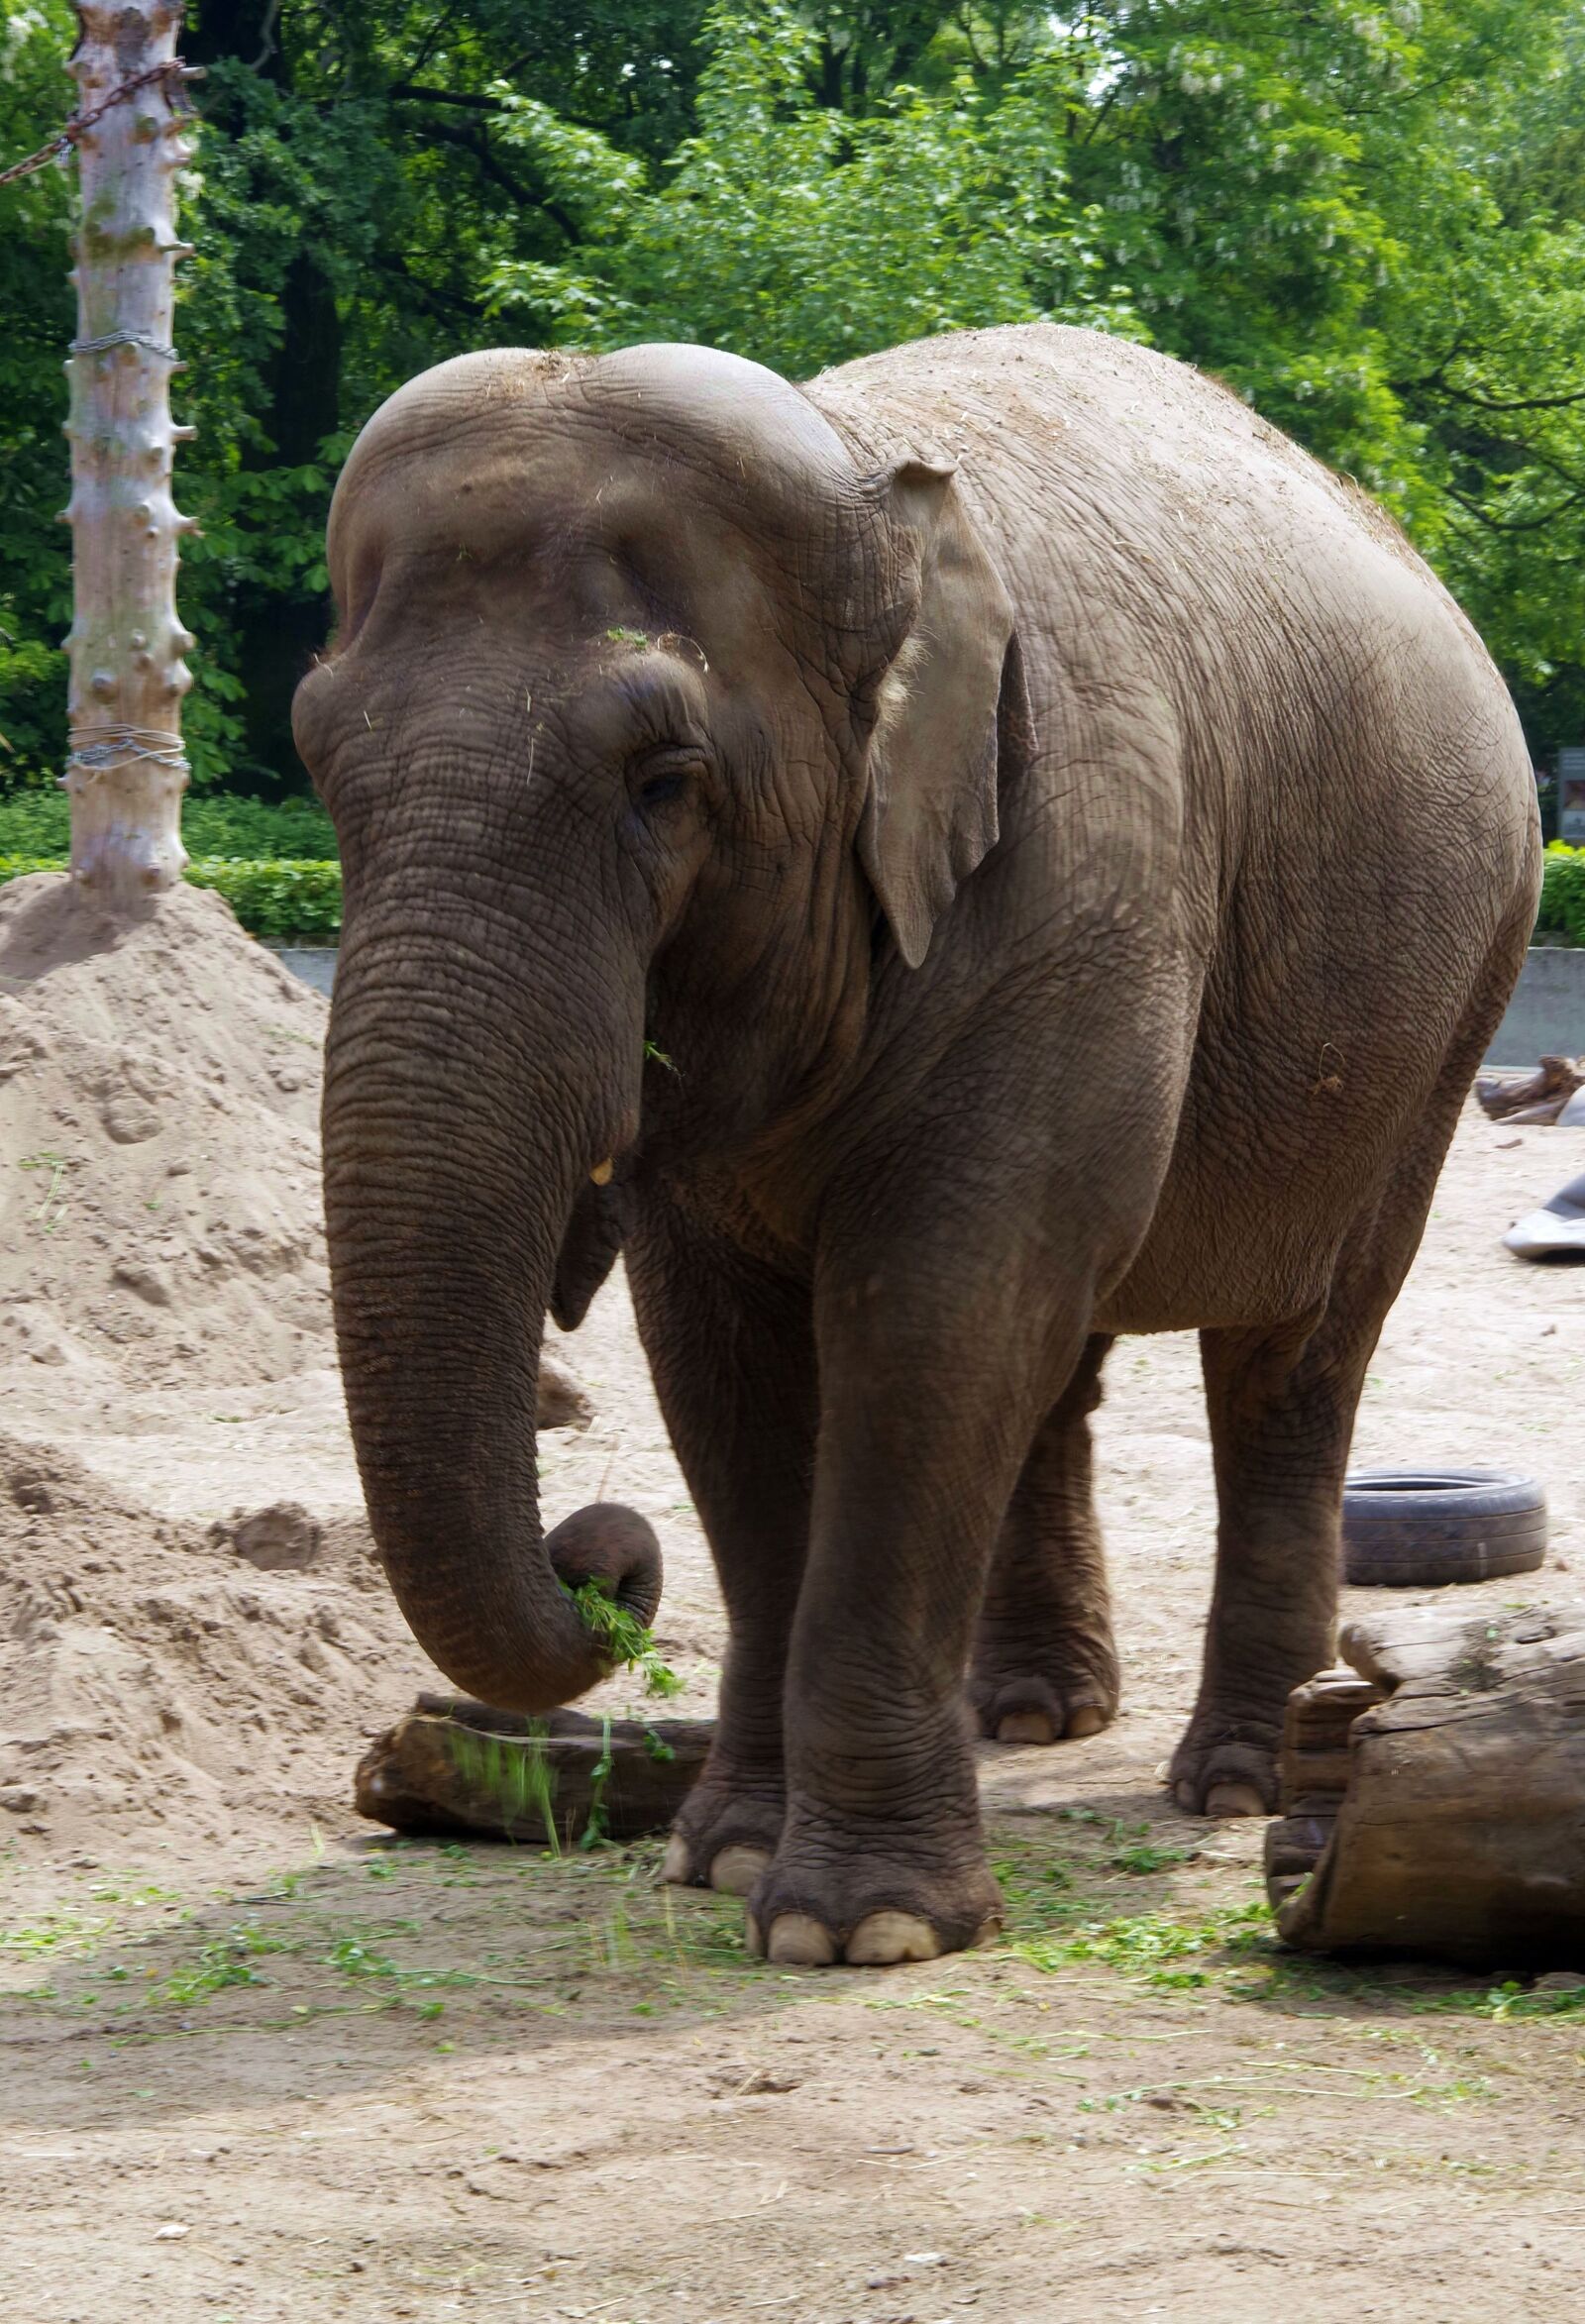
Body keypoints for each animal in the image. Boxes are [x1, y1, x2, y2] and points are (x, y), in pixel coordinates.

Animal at [293, 323, 1541, 1968]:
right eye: (318, 764)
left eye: (663, 782)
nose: (600, 1551)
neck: (870, 487)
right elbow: (728, 1362)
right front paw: (722, 1859)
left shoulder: (1078, 884)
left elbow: (932, 1317)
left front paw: (860, 1927)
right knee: (1063, 1346)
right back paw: (1032, 1714)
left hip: (1452, 996)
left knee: (1292, 1356)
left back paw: (1243, 1779)